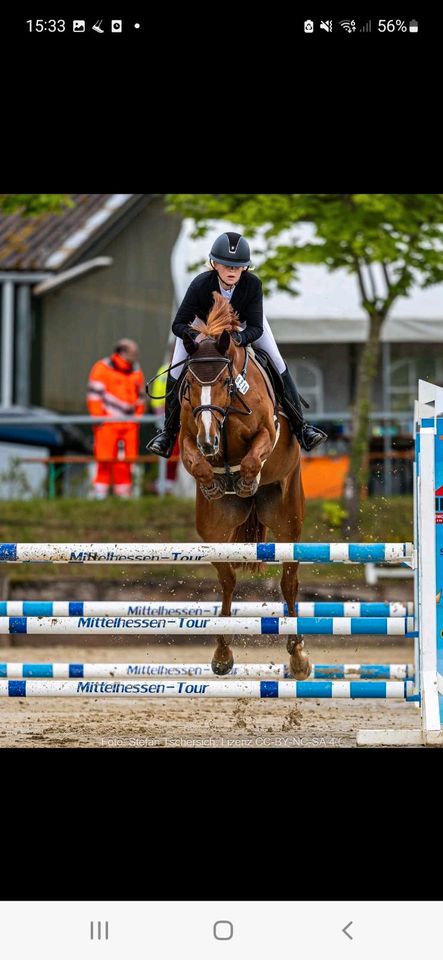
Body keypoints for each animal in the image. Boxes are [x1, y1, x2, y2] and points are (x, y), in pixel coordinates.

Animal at [177, 292, 308, 676]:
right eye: (190, 384)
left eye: (224, 382)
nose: (209, 441)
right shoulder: (188, 436)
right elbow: (195, 460)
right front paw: (214, 483)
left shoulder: (266, 431)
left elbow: (253, 456)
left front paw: (247, 480)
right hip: (214, 530)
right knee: (227, 579)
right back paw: (222, 653)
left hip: (288, 519)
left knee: (289, 580)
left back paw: (298, 655)